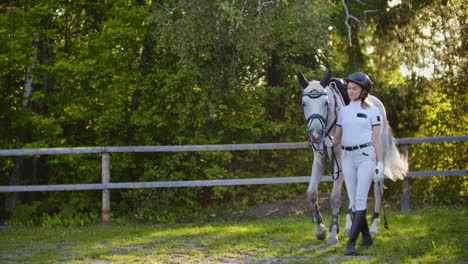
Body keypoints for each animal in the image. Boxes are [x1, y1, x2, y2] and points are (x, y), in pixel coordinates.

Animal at [298, 69, 408, 245]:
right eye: (304, 104)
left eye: (325, 103)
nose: (315, 134)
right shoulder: (320, 160)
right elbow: (312, 193)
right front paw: (320, 229)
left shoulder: (339, 161)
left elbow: (335, 198)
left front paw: (332, 234)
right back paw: (350, 227)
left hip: (377, 161)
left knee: (378, 190)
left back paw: (374, 227)